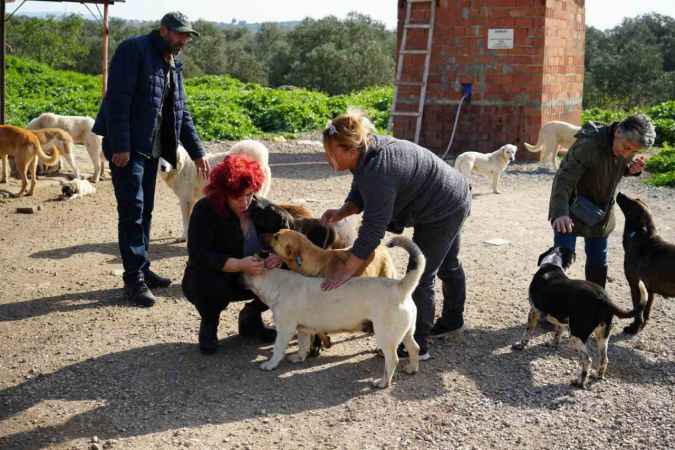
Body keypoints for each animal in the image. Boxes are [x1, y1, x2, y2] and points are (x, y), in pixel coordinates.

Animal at [242, 237, 422, 388]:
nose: (237, 275)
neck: (276, 282)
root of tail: (400, 287)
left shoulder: (285, 330)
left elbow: (278, 349)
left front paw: (270, 364)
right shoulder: (302, 330)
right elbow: (302, 345)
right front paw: (299, 357)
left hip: (386, 336)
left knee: (392, 360)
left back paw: (383, 382)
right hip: (407, 333)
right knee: (415, 348)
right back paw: (412, 368)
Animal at [516, 246, 640, 390]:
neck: (552, 265)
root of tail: (603, 298)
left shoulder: (534, 311)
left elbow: (527, 332)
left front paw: (520, 345)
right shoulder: (561, 320)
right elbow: (557, 332)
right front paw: (553, 343)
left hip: (576, 335)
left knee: (587, 360)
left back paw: (579, 382)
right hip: (602, 335)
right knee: (604, 359)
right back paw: (597, 376)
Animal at [616, 192, 675, 336]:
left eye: (633, 203)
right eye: (637, 199)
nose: (620, 193)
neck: (639, 235)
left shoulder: (634, 283)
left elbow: (638, 311)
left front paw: (634, 328)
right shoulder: (649, 288)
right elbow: (647, 309)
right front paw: (642, 325)